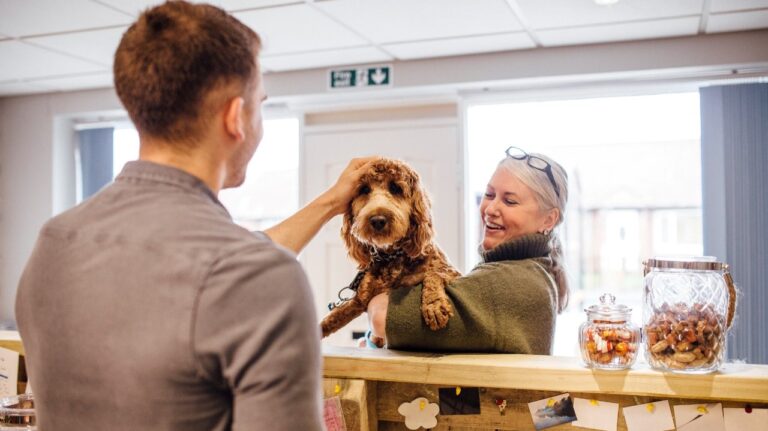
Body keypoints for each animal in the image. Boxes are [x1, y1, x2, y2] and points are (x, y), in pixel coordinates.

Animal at [320, 159, 460, 340]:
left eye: (395, 188)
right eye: (364, 189)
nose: (377, 220)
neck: (392, 255)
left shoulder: (453, 272)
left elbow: (434, 273)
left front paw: (433, 306)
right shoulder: (360, 300)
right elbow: (333, 317)